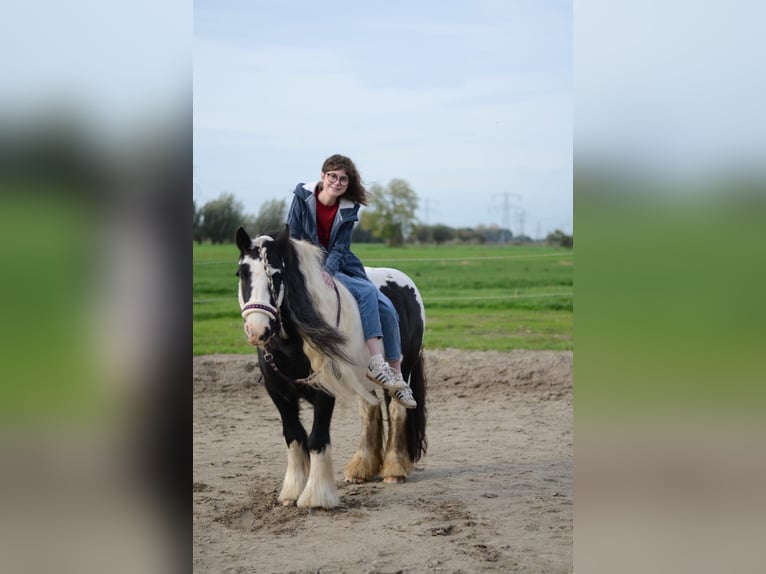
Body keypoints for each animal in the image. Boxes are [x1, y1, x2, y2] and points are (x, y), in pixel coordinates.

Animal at [236, 227, 426, 510]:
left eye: (278, 275)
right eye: (242, 273)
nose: (257, 329)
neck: (291, 344)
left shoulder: (325, 389)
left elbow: (316, 438)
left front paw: (316, 496)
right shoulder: (278, 393)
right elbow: (294, 436)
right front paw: (292, 491)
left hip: (405, 369)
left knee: (396, 410)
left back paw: (394, 469)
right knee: (369, 411)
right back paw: (361, 468)